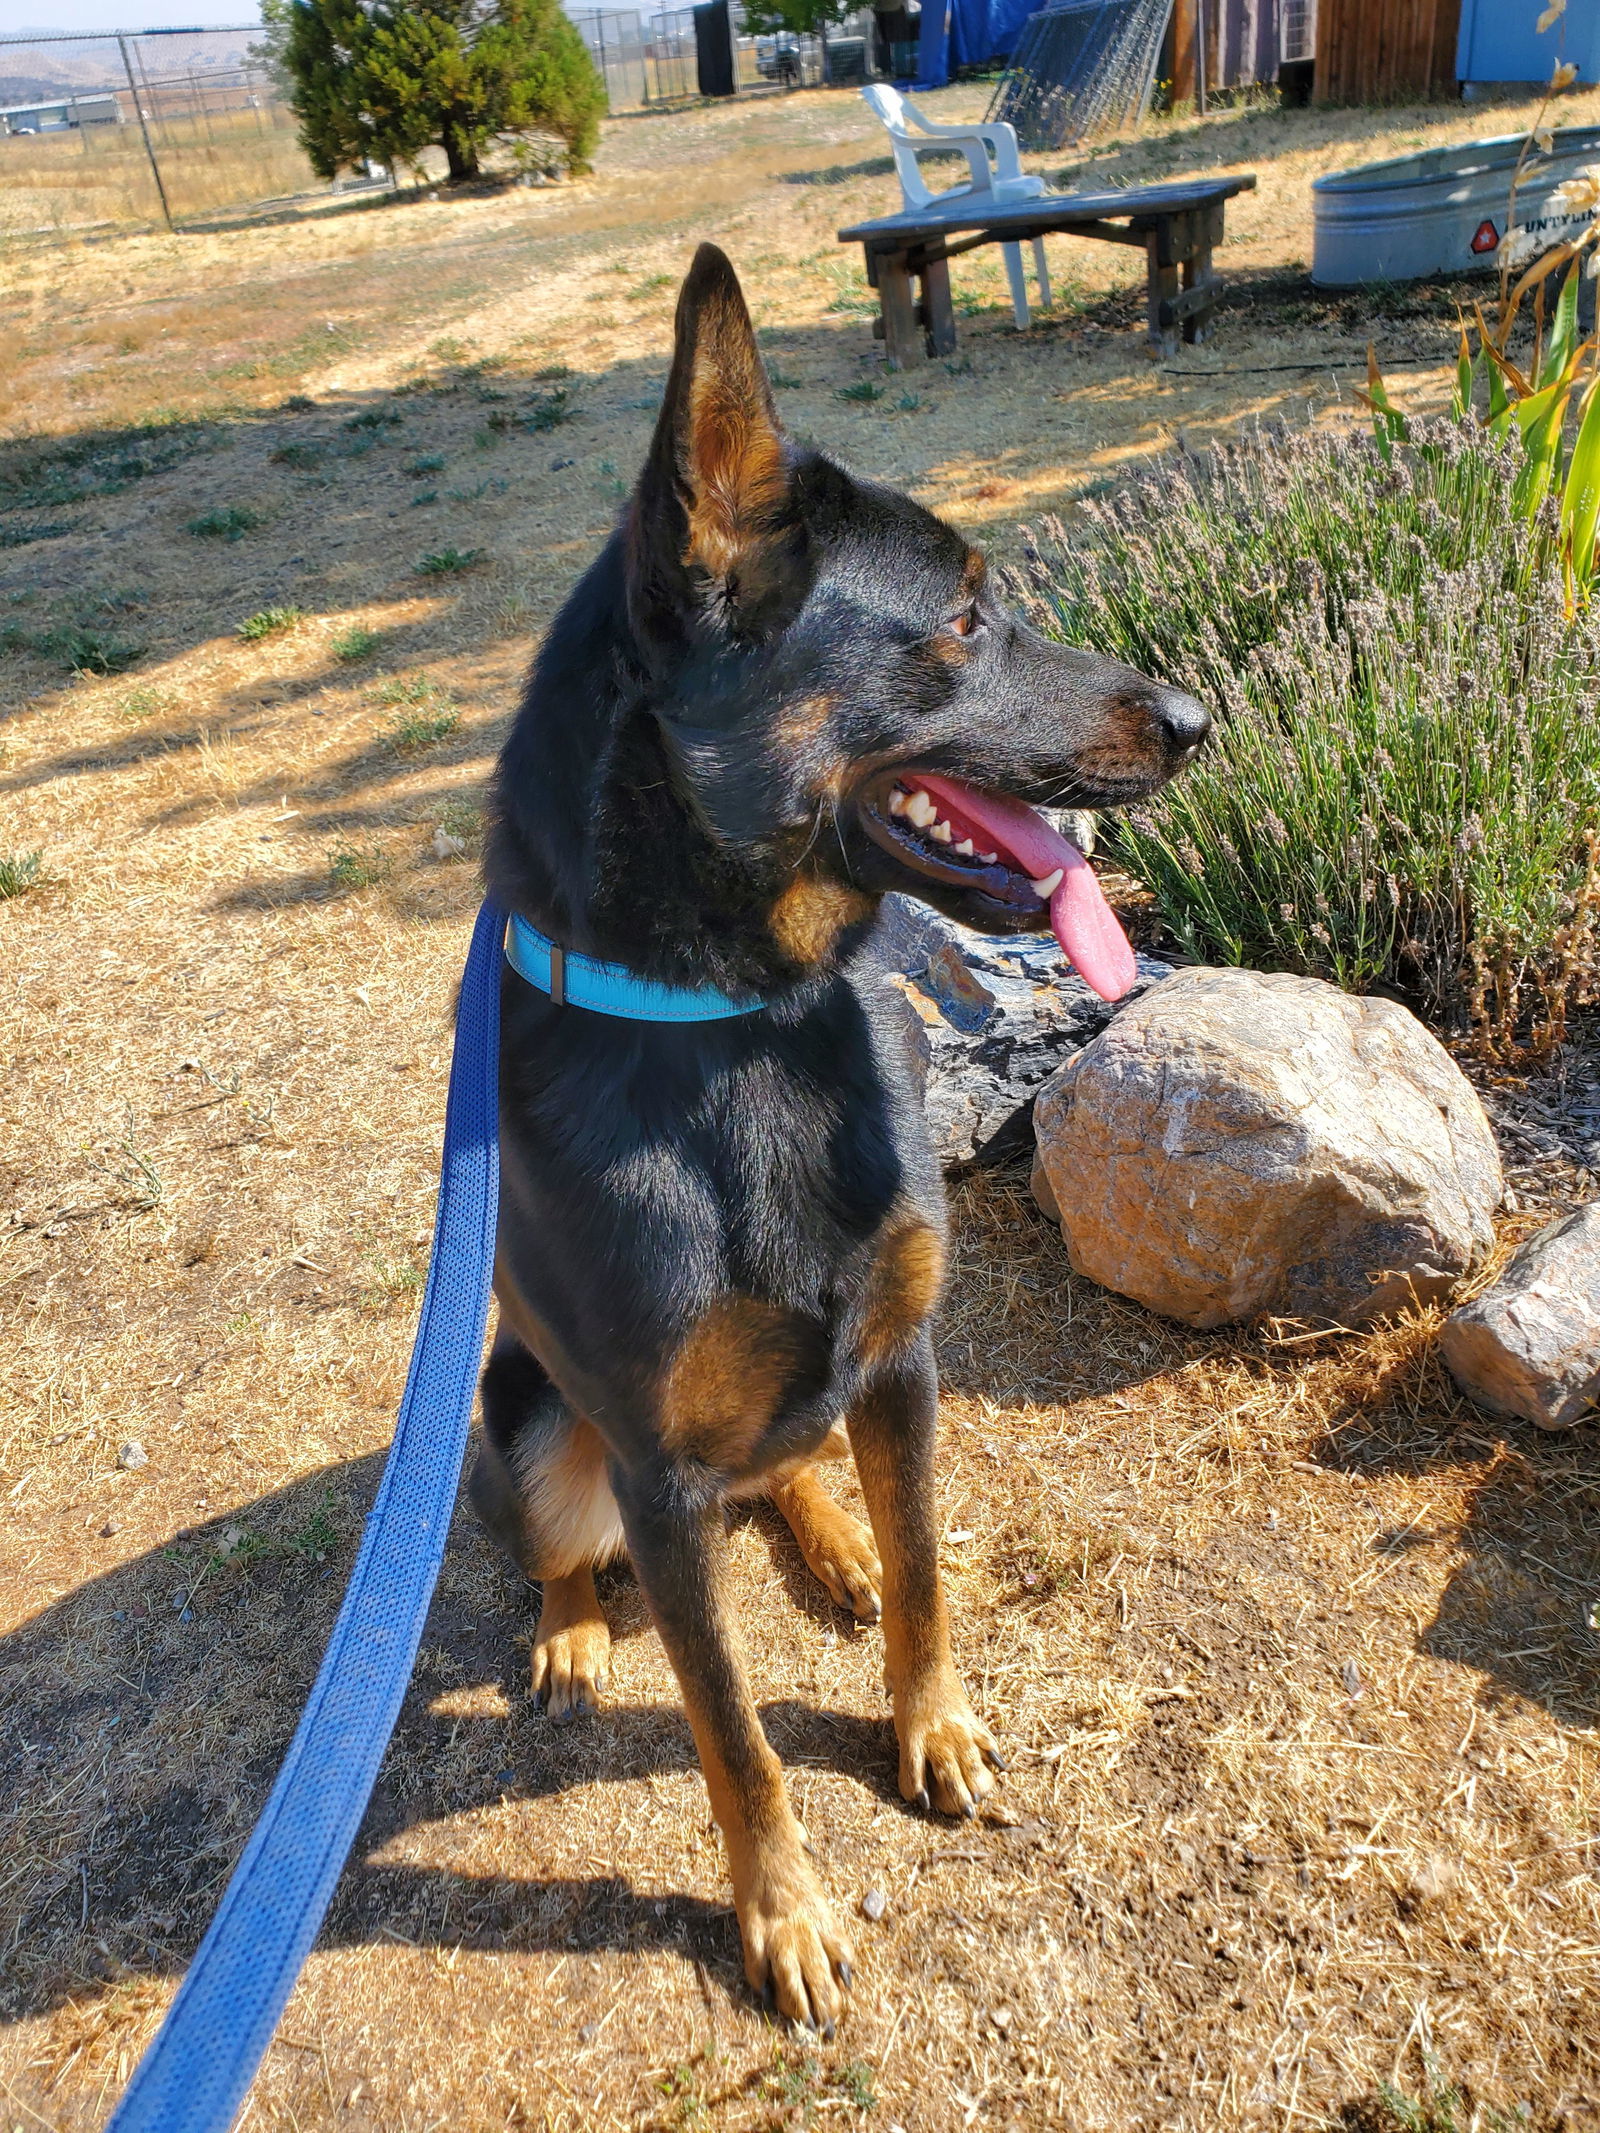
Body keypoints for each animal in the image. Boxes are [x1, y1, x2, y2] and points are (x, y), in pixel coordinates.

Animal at [475, 245, 1211, 2030]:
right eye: (960, 619)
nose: (1199, 715)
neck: (750, 1025)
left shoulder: (900, 1360)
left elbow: (932, 1564)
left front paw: (930, 1724)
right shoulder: (662, 1483)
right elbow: (732, 1736)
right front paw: (784, 1912)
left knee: (802, 1467)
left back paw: (829, 1542)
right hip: (524, 1422)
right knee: (564, 1543)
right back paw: (572, 1629)